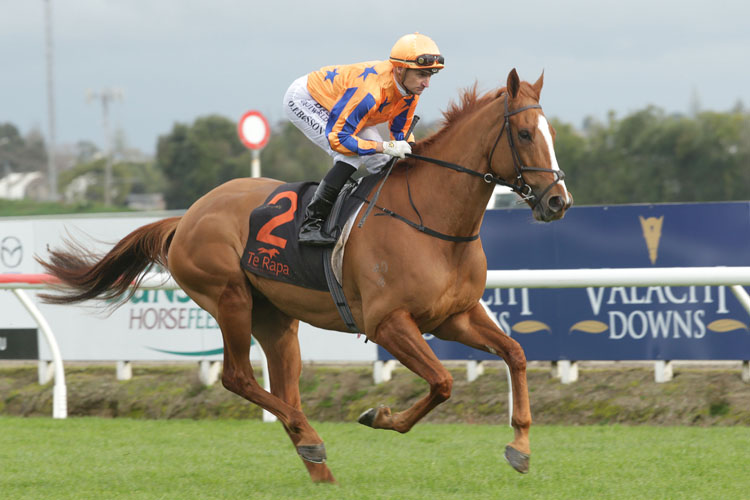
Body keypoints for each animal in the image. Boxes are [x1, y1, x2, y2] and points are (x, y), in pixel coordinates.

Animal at [38, 68, 572, 482]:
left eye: (552, 135)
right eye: (525, 135)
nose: (557, 202)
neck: (432, 220)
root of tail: (187, 216)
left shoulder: (454, 316)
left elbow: (516, 354)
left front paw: (520, 448)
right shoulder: (387, 323)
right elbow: (442, 382)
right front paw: (379, 415)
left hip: (276, 319)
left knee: (282, 387)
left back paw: (316, 463)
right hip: (230, 298)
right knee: (238, 377)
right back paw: (311, 437)